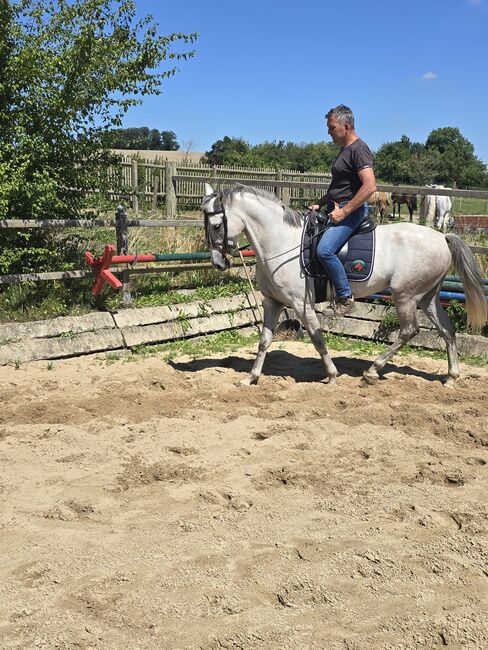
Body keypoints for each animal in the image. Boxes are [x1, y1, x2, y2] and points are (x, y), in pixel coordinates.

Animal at [200, 182, 486, 384]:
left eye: (216, 225)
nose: (218, 262)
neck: (281, 241)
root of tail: (441, 238)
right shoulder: (273, 302)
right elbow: (264, 341)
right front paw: (251, 377)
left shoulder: (301, 304)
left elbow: (316, 338)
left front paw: (332, 374)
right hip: (427, 297)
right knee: (447, 330)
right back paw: (451, 377)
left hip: (405, 296)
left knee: (409, 331)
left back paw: (372, 371)